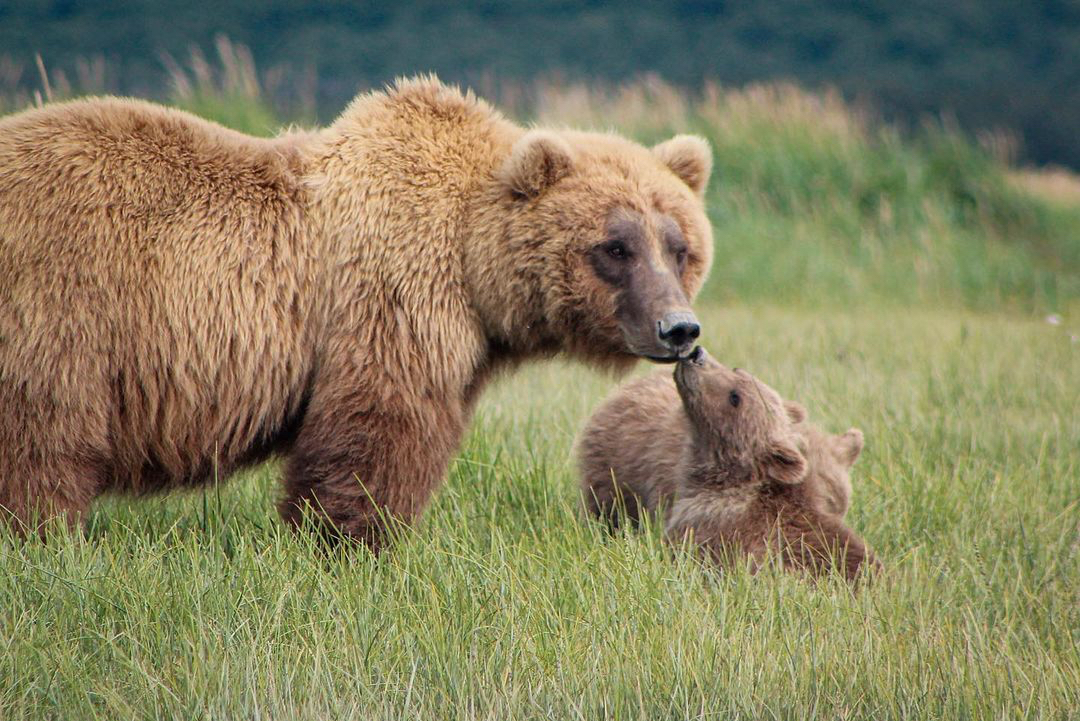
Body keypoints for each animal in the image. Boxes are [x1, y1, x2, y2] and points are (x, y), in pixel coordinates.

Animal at [0, 76, 714, 550]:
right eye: (615, 247)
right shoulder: (392, 295)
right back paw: (46, 538)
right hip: (64, 306)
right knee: (45, 436)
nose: (679, 328)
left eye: (679, 246)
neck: (473, 265)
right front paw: (346, 540)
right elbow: (375, 430)